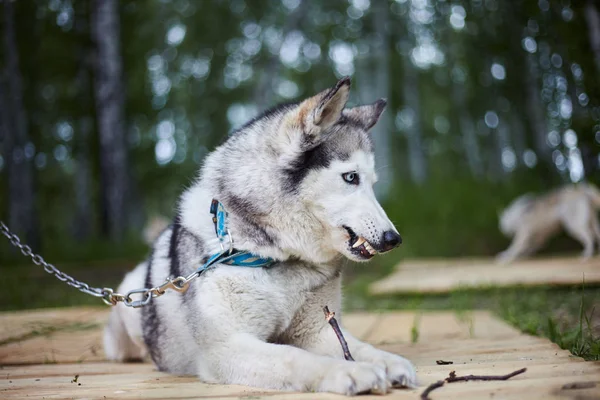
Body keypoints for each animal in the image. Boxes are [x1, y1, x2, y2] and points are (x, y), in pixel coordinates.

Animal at [105, 77, 418, 394]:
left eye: (373, 183)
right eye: (351, 177)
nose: (393, 239)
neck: (275, 252)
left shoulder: (318, 330)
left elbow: (360, 347)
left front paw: (389, 362)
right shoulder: (227, 347)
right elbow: (295, 357)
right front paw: (350, 372)